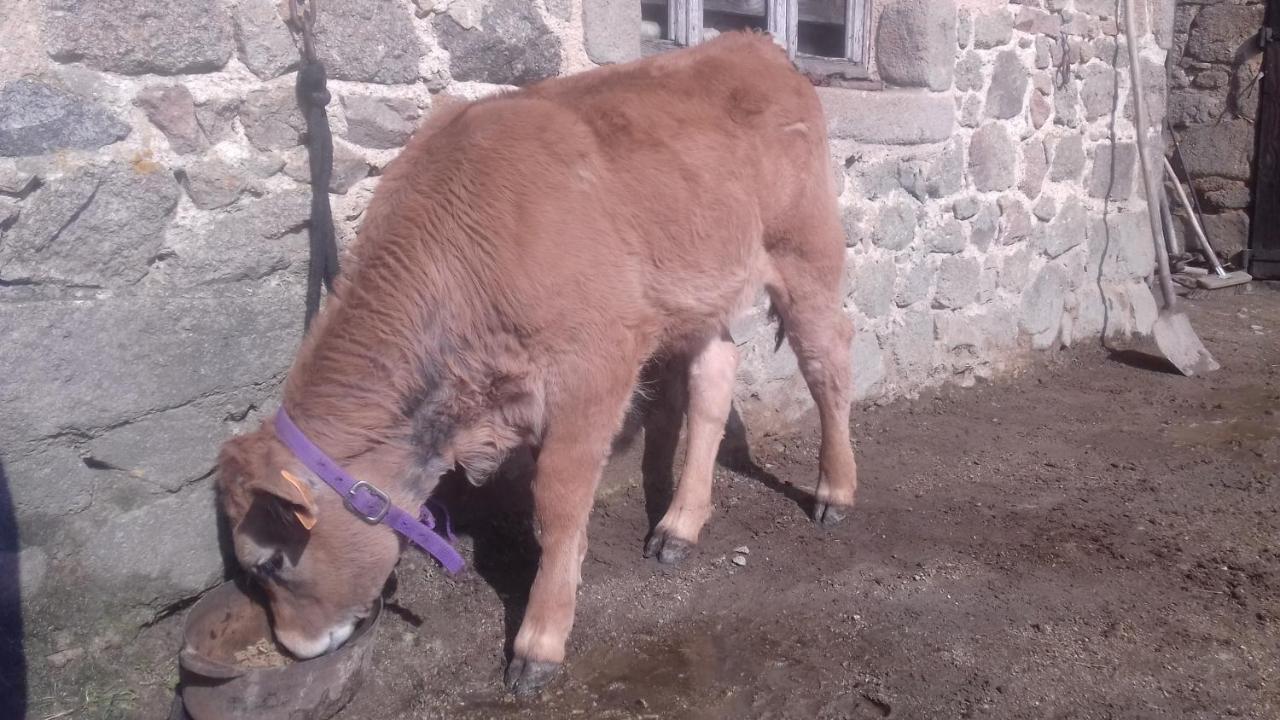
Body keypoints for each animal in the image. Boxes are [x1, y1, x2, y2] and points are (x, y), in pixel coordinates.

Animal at [217, 30, 860, 691]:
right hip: (700, 289)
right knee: (715, 375)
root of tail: (753, 46)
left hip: (806, 253)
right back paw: (678, 526)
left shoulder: (595, 365)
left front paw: (540, 640)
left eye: (269, 562)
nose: (293, 646)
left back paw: (834, 492)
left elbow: (557, 496)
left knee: (827, 359)